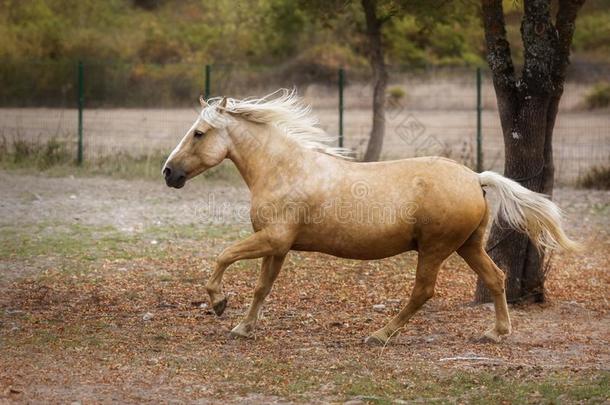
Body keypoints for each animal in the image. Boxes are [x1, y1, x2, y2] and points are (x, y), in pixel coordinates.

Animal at [162, 89, 576, 344]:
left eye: (198, 133)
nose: (169, 173)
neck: (285, 169)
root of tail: (475, 177)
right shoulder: (278, 247)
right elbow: (262, 287)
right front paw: (243, 327)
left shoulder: (273, 239)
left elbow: (223, 256)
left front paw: (218, 303)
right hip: (468, 246)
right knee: (495, 278)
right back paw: (497, 333)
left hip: (435, 249)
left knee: (423, 291)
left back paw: (379, 335)